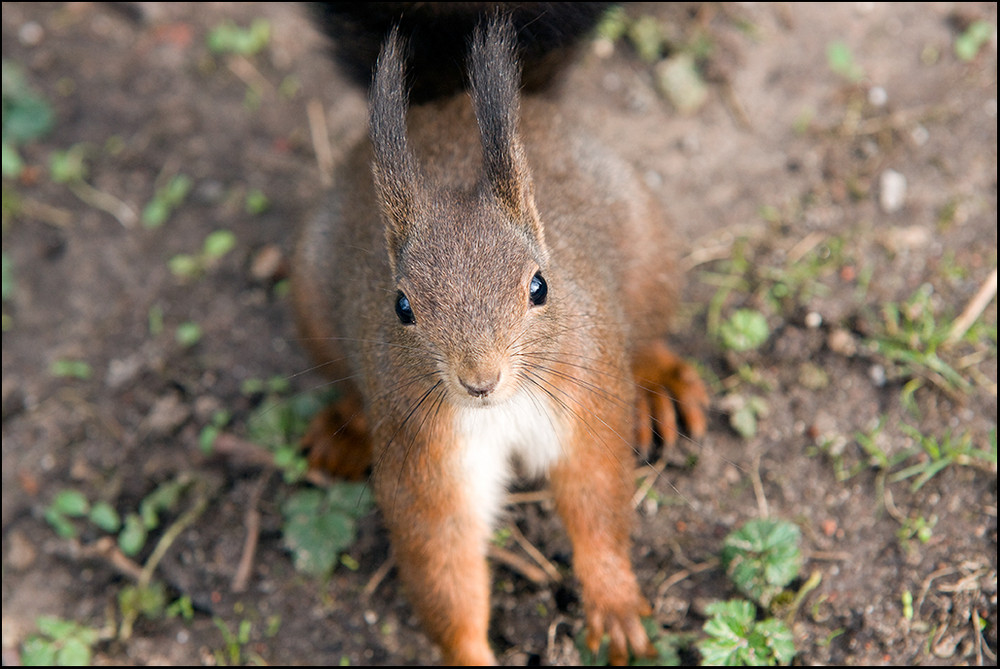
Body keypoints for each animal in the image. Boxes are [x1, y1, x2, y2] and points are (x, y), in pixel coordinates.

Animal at [290, 2, 712, 664]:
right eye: (402, 306)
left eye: (539, 286)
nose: (479, 381)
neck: (501, 412)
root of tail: (447, 101)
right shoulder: (427, 455)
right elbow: (444, 557)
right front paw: (470, 653)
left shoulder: (583, 404)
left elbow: (597, 499)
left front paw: (614, 604)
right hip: (311, 295)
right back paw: (345, 430)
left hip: (649, 252)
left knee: (647, 333)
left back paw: (658, 384)